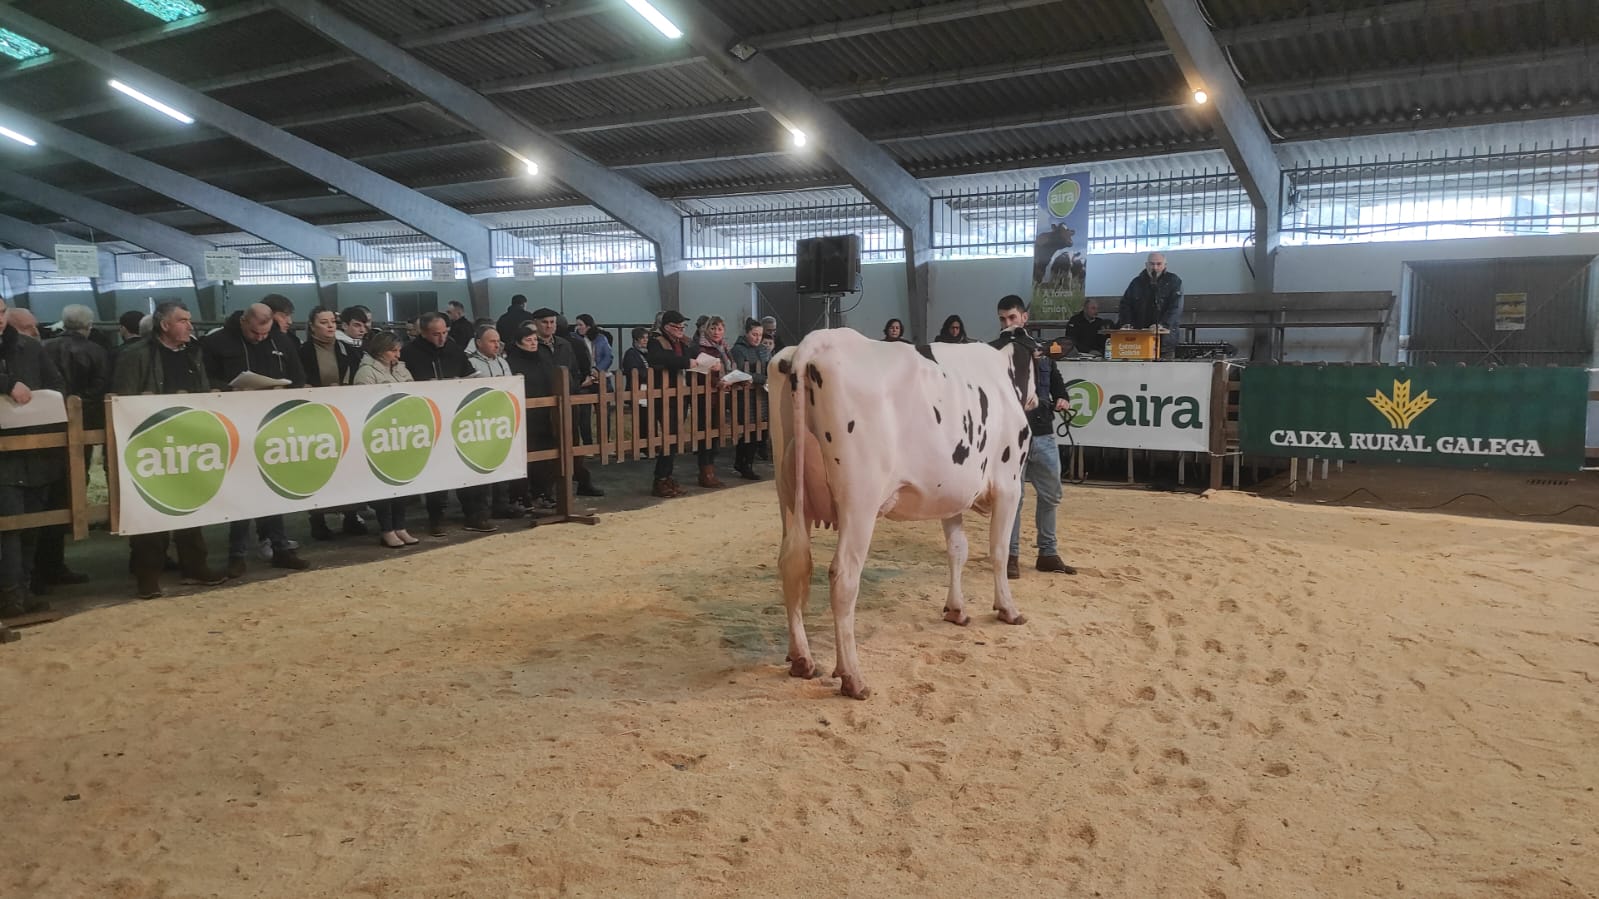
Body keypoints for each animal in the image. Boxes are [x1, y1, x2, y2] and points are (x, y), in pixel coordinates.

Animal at [770, 327, 1039, 699]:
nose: (1038, 400)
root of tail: (817, 342)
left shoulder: (950, 493)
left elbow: (958, 550)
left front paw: (956, 610)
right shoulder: (1009, 484)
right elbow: (997, 552)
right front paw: (1008, 609)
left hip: (789, 496)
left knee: (793, 566)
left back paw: (801, 660)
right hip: (860, 500)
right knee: (843, 577)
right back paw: (853, 677)